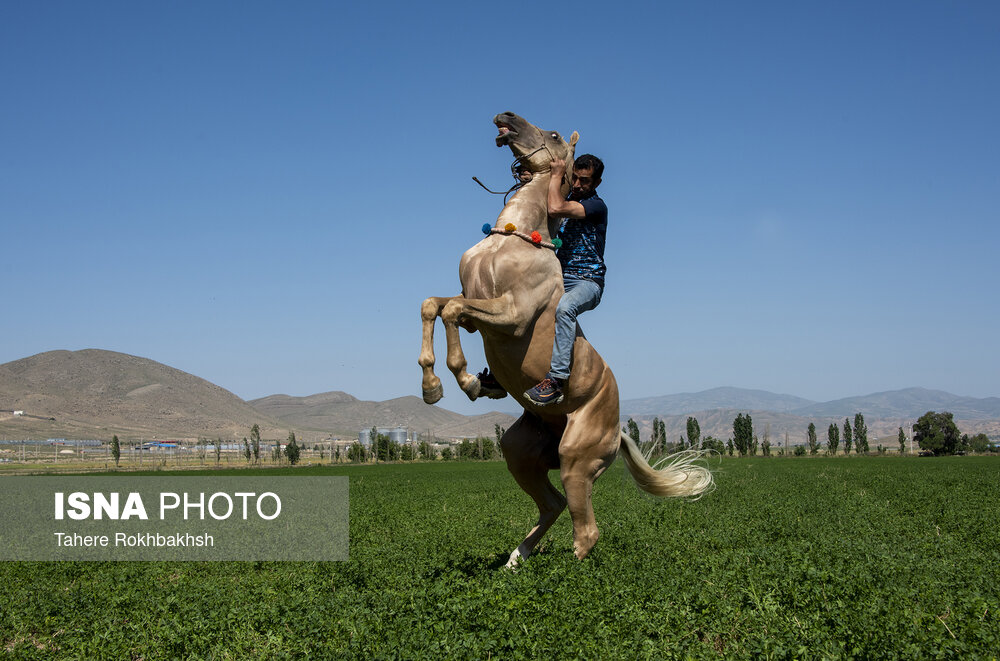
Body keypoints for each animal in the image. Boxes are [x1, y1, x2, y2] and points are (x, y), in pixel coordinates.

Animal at [418, 111, 716, 564]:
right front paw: (432, 386)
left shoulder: (511, 314)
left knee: (586, 530)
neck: (511, 238)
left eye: (554, 134)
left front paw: (465, 380)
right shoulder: (475, 307)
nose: (504, 117)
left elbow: (450, 311)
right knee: (552, 505)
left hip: (577, 459)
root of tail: (617, 428)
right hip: (519, 453)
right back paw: (515, 561)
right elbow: (432, 306)